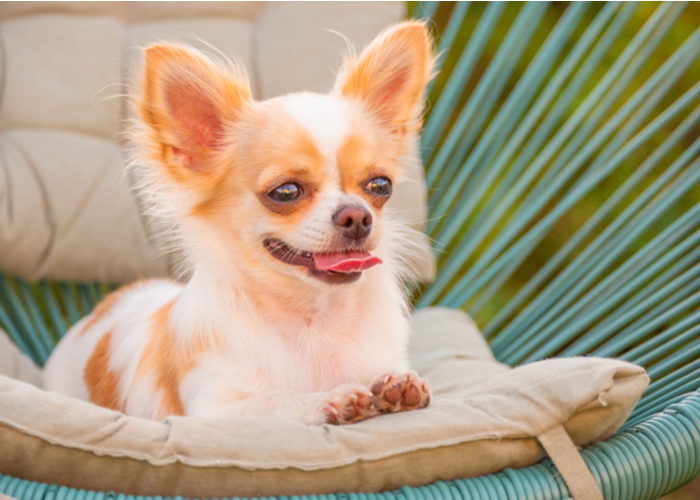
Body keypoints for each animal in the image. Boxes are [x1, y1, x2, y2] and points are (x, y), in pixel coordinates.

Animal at [41, 21, 434, 424]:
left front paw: (397, 386)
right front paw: (328, 399)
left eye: (380, 186)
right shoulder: (210, 412)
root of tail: (102, 310)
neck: (315, 319)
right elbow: (274, 401)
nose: (357, 216)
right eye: (286, 191)